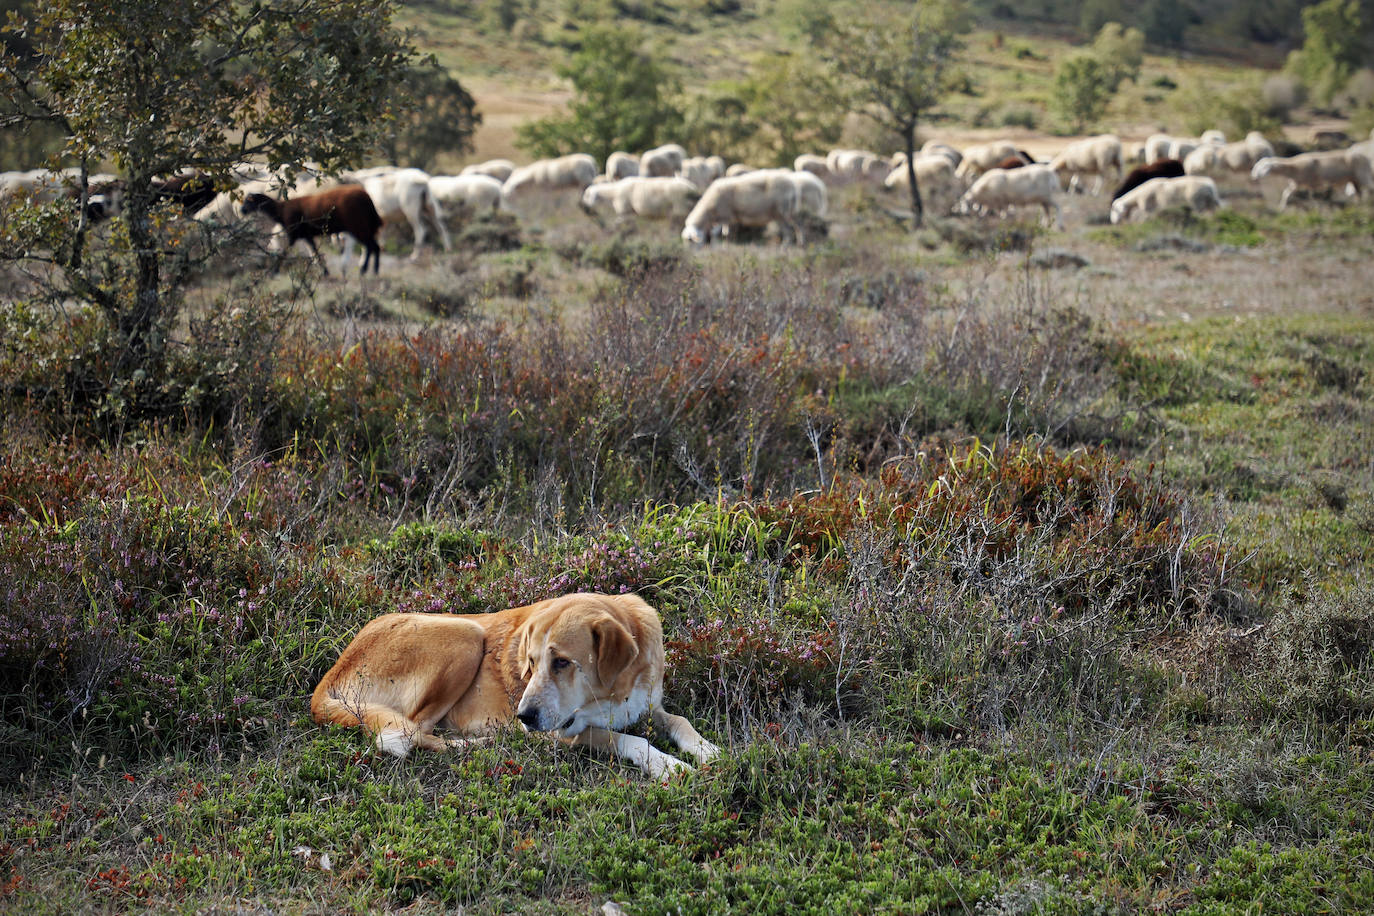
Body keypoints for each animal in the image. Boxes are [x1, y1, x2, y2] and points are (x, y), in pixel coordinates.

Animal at [241, 184, 381, 274]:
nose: (242, 211)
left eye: (248, 201)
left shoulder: (293, 234)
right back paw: (373, 270)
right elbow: (315, 253)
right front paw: (325, 272)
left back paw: (366, 270)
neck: (280, 211)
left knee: (371, 246)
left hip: (358, 226)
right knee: (374, 246)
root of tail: (368, 198)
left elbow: (284, 253)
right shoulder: (306, 235)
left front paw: (274, 272)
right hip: (364, 226)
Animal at [311, 590, 719, 780]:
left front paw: (706, 750)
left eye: (561, 662)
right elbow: (631, 739)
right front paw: (667, 764)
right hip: (466, 634)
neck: (615, 689)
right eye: (531, 663)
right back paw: (475, 744)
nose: (523, 717)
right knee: (415, 731)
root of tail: (329, 678)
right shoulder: (563, 734)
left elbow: (680, 722)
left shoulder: (648, 706)